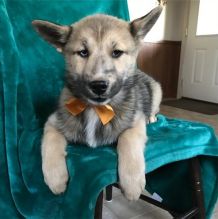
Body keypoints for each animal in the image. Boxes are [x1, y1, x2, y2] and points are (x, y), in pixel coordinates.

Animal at [31, 5, 162, 200]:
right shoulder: (53, 122)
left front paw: (132, 183)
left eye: (117, 52)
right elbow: (50, 142)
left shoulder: (135, 121)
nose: (99, 85)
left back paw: (151, 118)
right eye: (83, 52)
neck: (96, 108)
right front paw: (56, 179)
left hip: (157, 89)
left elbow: (128, 138)